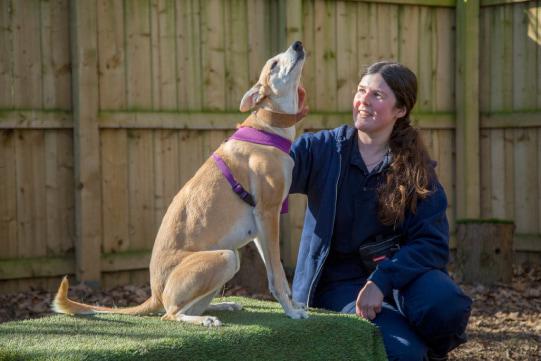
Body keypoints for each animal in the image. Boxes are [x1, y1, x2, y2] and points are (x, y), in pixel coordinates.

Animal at [54, 41, 310, 326]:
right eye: (274, 64)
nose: (297, 44)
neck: (266, 128)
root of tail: (155, 293)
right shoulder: (268, 213)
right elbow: (278, 276)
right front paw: (292, 311)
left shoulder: (260, 228)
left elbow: (275, 273)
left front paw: (293, 304)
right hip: (225, 256)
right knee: (170, 313)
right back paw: (204, 320)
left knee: (185, 308)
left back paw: (222, 305)